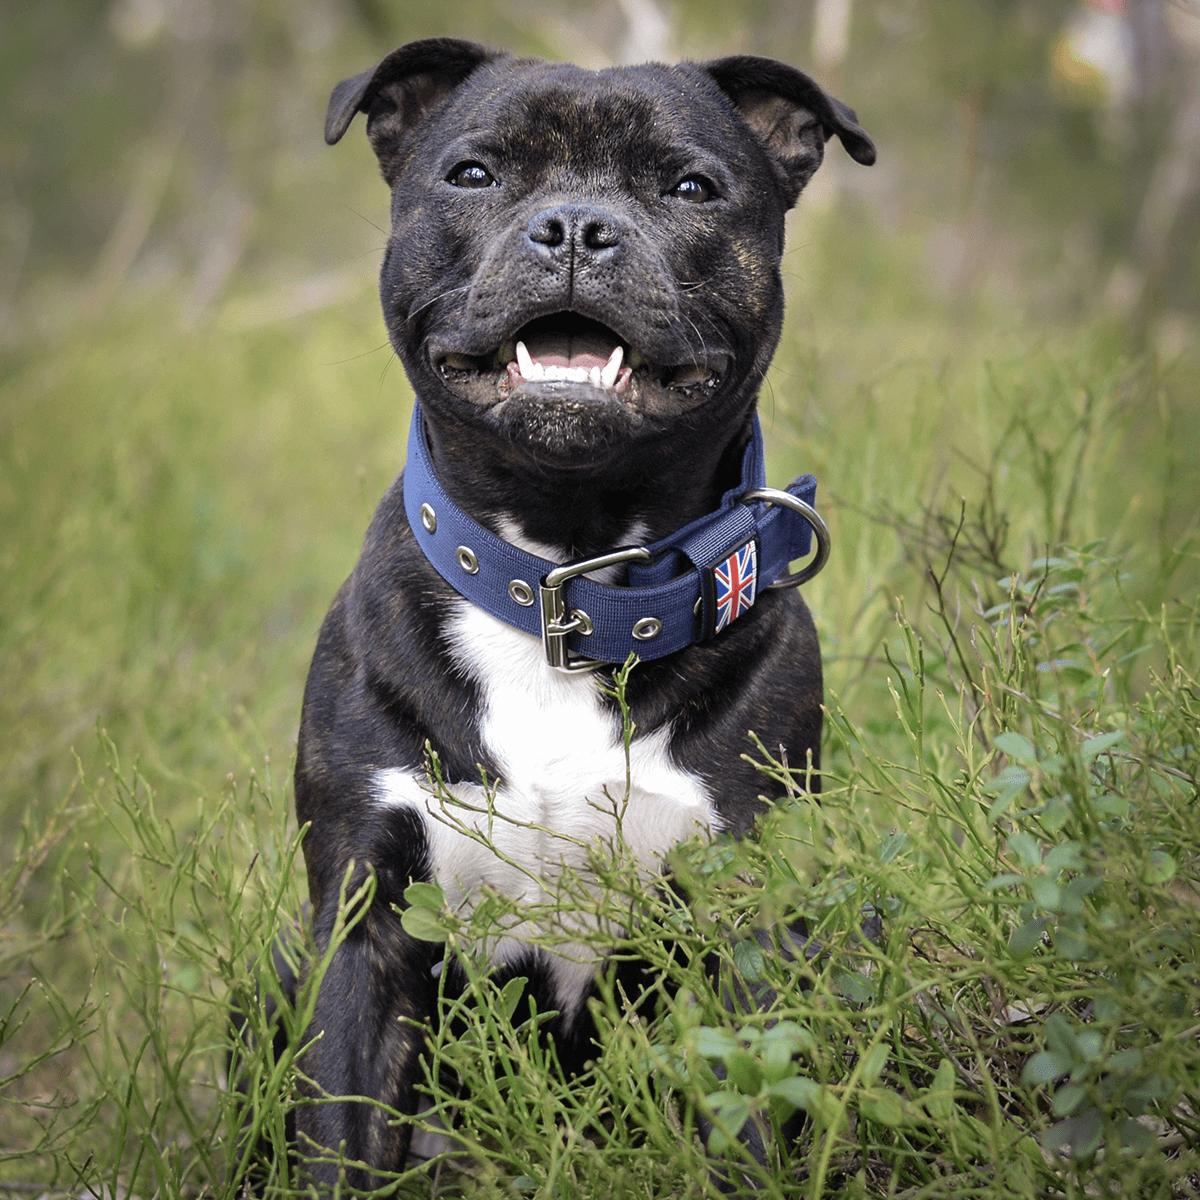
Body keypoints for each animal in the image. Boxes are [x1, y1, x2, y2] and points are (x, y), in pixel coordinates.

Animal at [290, 37, 873, 1190]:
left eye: (690, 188)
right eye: (473, 174)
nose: (572, 226)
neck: (567, 579)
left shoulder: (747, 933)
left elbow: (748, 1123)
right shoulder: (363, 929)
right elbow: (343, 1140)